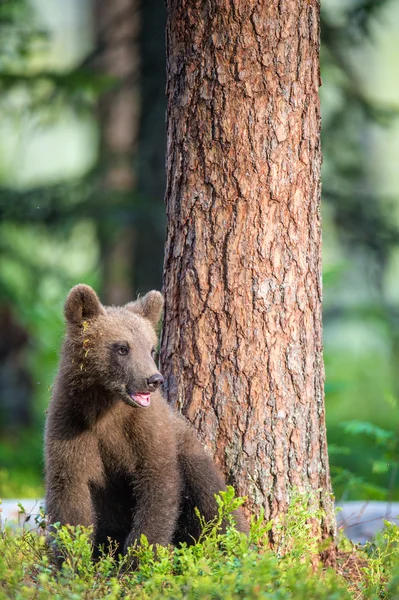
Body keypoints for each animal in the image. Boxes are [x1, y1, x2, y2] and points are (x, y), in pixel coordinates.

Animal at [45, 284, 248, 560]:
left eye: (151, 349)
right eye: (122, 347)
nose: (154, 379)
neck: (105, 409)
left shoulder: (146, 430)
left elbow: (157, 485)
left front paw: (139, 555)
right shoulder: (71, 424)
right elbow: (69, 491)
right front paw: (70, 557)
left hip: (192, 456)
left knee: (213, 499)